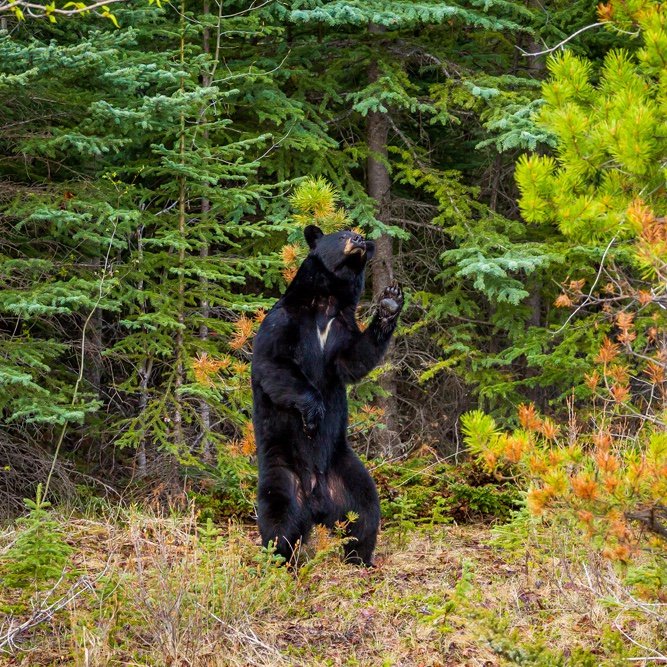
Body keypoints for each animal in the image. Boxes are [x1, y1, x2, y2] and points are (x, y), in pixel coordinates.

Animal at [250, 227, 404, 568]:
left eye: (359, 234)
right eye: (343, 233)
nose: (359, 241)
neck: (324, 304)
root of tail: (317, 501)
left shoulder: (342, 330)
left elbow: (355, 359)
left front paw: (390, 302)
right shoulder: (283, 323)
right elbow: (274, 364)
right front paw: (313, 413)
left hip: (346, 472)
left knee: (365, 511)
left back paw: (361, 558)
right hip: (282, 473)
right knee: (279, 521)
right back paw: (280, 561)